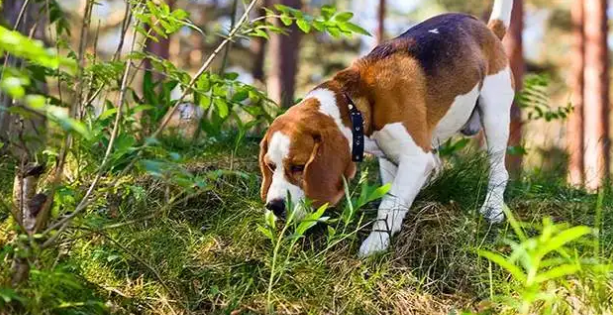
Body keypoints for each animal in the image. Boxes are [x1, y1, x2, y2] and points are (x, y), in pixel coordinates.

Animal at [258, 0, 516, 256]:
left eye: (299, 167)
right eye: (270, 166)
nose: (274, 206)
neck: (355, 104)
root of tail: (489, 30)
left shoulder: (415, 158)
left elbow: (389, 204)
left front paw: (375, 243)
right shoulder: (389, 159)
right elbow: (393, 195)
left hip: (494, 115)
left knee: (499, 170)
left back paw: (493, 208)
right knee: (437, 166)